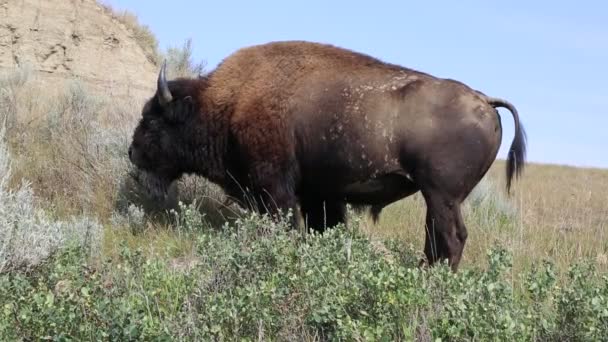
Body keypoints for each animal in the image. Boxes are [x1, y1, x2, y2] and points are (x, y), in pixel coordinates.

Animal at [129, 40, 528, 270]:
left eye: (152, 120)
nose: (132, 153)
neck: (229, 102)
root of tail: (484, 100)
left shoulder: (276, 190)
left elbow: (286, 225)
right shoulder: (320, 195)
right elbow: (322, 228)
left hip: (442, 195)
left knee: (451, 239)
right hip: (439, 198)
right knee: (436, 238)